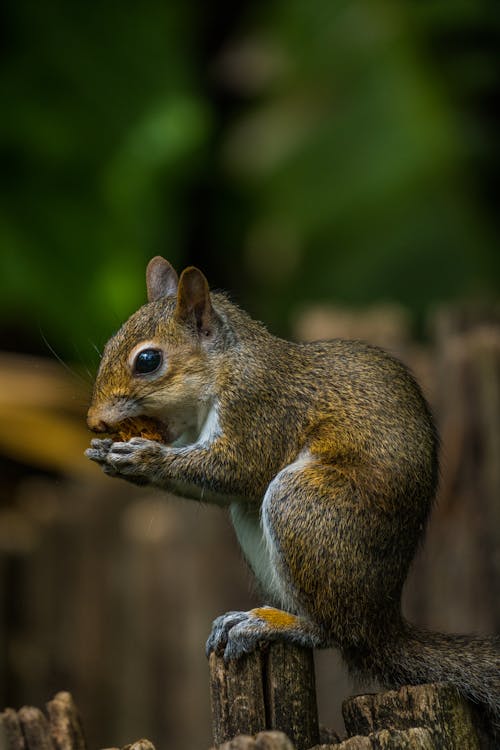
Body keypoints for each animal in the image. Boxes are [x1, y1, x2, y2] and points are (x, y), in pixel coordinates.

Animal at [87, 258, 500, 736]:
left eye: (148, 360)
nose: (94, 421)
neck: (225, 366)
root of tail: (380, 621)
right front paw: (107, 453)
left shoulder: (260, 410)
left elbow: (237, 469)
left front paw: (143, 458)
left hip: (302, 505)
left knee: (332, 632)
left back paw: (270, 624)